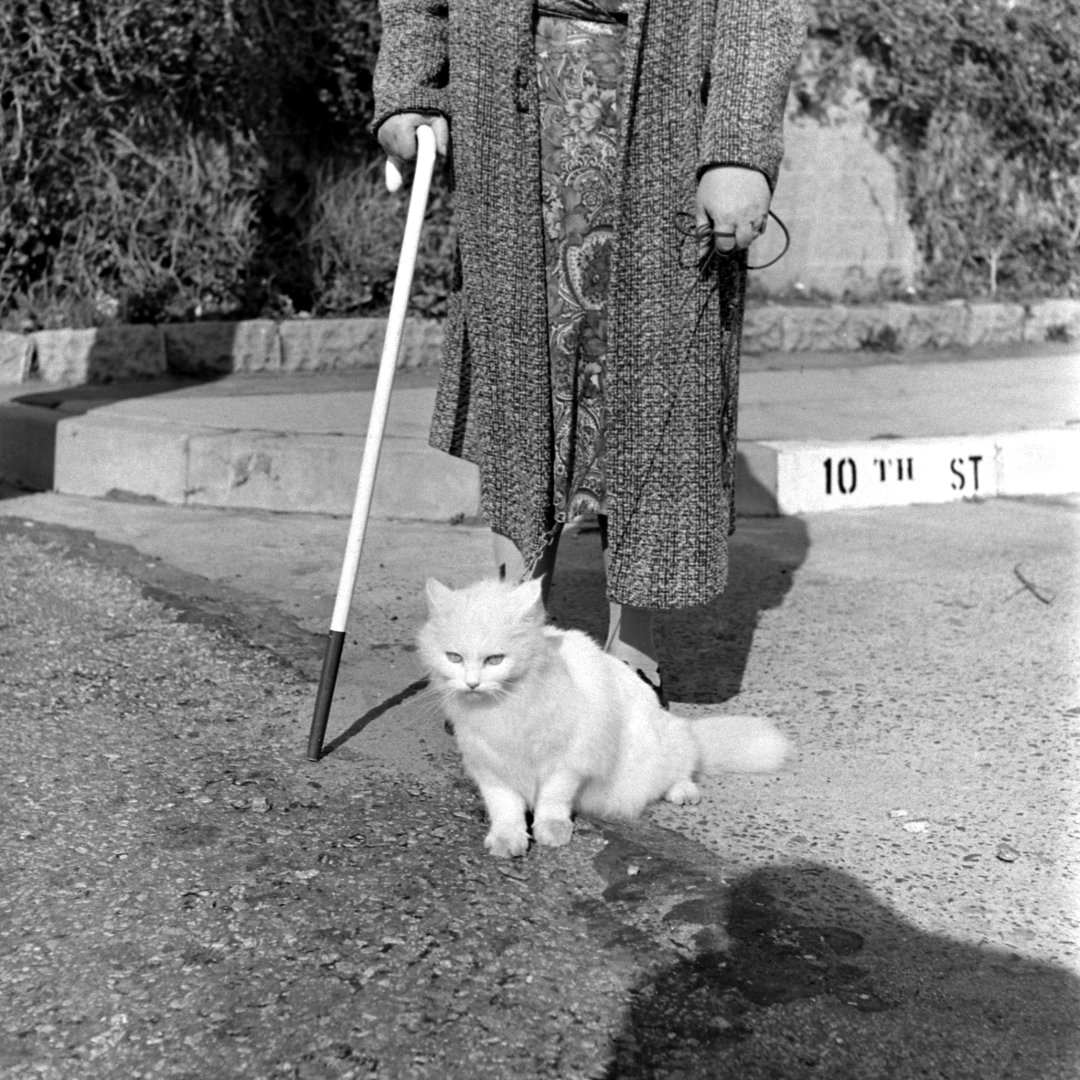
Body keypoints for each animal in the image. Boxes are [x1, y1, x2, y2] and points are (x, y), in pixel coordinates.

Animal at [416, 578, 790, 855]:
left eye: (495, 659)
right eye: (454, 657)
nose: (472, 683)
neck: (505, 705)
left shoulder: (568, 761)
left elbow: (553, 800)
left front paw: (552, 831)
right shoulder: (491, 767)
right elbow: (505, 808)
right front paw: (508, 841)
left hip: (667, 744)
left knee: (684, 769)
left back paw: (683, 793)